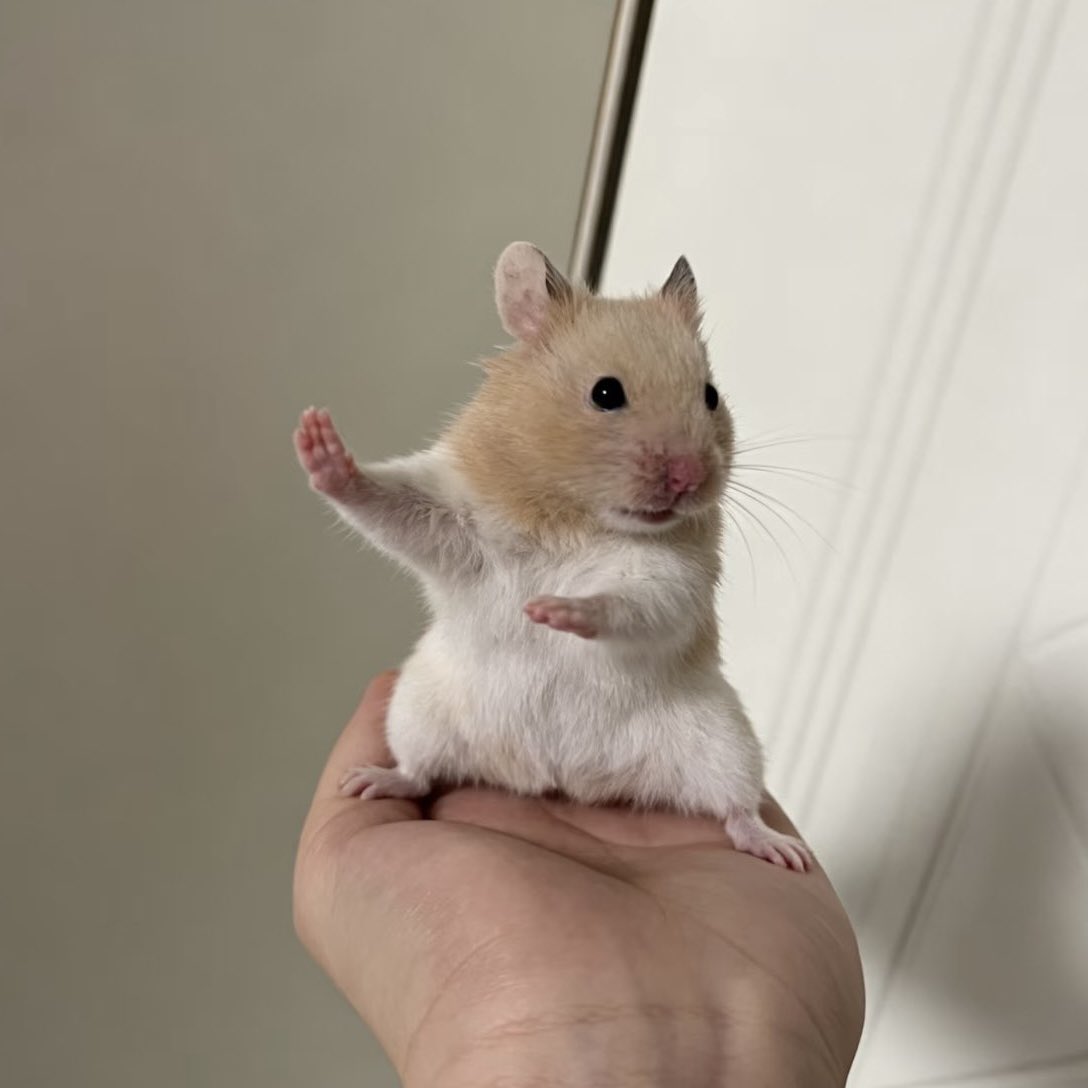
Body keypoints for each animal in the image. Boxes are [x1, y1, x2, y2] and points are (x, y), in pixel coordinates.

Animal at [293, 241, 811, 871]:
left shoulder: (671, 579)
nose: (690, 478)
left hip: (725, 743)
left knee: (735, 807)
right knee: (419, 770)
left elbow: (632, 602)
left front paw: (554, 611)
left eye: (710, 395)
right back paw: (371, 781)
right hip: (417, 711)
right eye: (606, 393)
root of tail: (562, 778)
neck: (574, 516)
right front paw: (318, 444)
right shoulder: (456, 521)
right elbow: (388, 502)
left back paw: (780, 850)